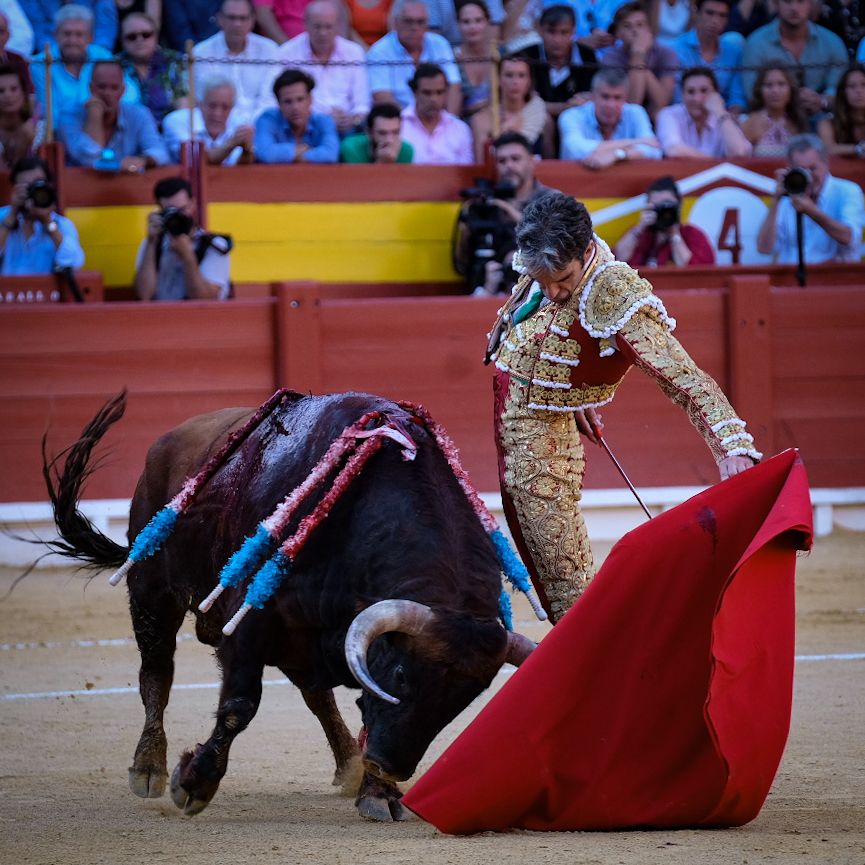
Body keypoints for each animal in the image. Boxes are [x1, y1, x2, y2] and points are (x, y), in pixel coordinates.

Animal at [42, 394, 532, 824]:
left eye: (466, 698)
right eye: (400, 675)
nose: (387, 766)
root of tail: (167, 441)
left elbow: (356, 706)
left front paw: (378, 793)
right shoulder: (249, 620)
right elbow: (240, 704)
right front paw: (194, 784)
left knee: (316, 695)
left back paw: (349, 764)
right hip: (151, 591)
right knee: (156, 675)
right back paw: (148, 768)